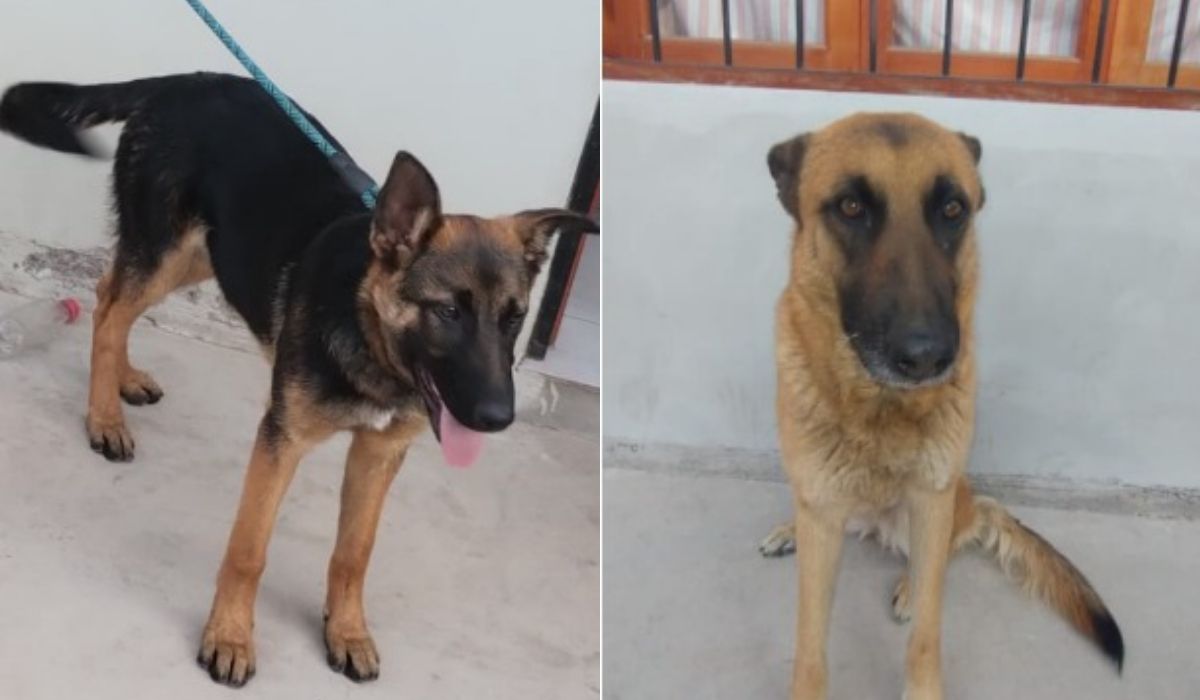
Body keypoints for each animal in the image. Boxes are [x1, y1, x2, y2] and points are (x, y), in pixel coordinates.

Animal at [0, 72, 596, 687]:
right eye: (448, 312)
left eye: (514, 318)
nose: (498, 419)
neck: (366, 334)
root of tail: (184, 79)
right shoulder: (280, 442)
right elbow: (248, 551)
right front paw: (230, 637)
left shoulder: (378, 455)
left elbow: (355, 553)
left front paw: (347, 632)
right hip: (166, 251)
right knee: (111, 309)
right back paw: (104, 418)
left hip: (210, 254)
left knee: (109, 296)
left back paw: (124, 380)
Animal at [759, 113, 1122, 699]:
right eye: (851, 207)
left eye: (953, 210)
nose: (927, 356)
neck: (878, 409)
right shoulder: (820, 505)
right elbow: (810, 641)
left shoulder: (930, 500)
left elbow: (928, 628)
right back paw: (791, 529)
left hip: (942, 505)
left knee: (944, 553)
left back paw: (911, 583)